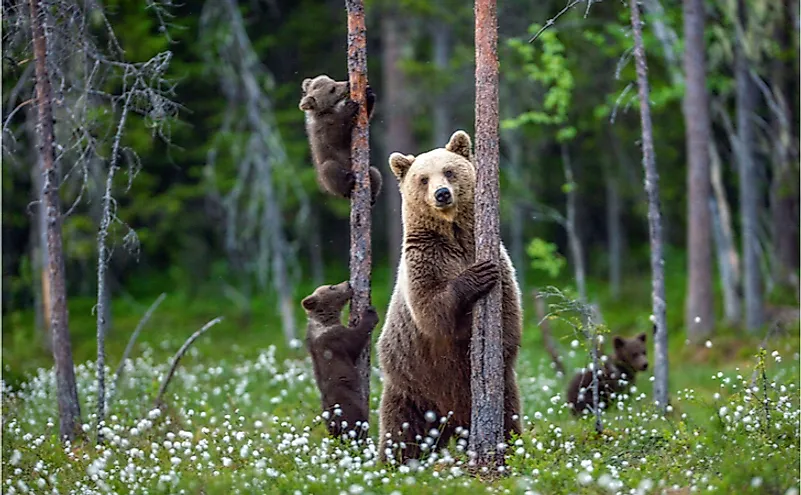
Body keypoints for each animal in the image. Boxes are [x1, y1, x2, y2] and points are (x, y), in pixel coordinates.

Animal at [298, 74, 382, 205]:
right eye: (332, 89)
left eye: (333, 80)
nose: (348, 83)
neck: (329, 110)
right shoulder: (322, 129)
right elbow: (336, 137)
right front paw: (349, 107)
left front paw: (369, 94)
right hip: (327, 175)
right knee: (329, 169)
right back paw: (349, 182)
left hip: (369, 171)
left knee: (374, 172)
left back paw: (372, 197)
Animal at [302, 280, 380, 440]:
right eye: (331, 287)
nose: (348, 283)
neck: (325, 321)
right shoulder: (335, 339)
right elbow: (355, 341)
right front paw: (370, 312)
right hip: (349, 404)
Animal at [376, 130, 524, 464]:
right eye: (422, 178)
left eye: (449, 171)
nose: (442, 194)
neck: (453, 234)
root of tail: (451, 421)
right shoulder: (424, 260)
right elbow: (432, 310)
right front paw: (476, 276)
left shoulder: (497, 259)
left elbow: (509, 314)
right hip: (411, 386)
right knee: (401, 431)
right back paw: (392, 464)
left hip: (501, 391)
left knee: (509, 417)